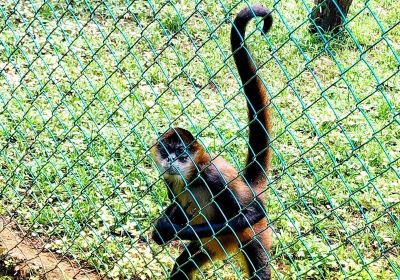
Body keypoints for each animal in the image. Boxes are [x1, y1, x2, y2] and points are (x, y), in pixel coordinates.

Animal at [152, 4, 274, 280]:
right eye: (166, 151)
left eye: (182, 154)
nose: (171, 161)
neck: (191, 177)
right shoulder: (169, 179)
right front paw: (162, 229)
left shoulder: (213, 175)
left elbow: (255, 211)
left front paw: (173, 230)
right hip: (207, 248)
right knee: (183, 266)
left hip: (254, 236)